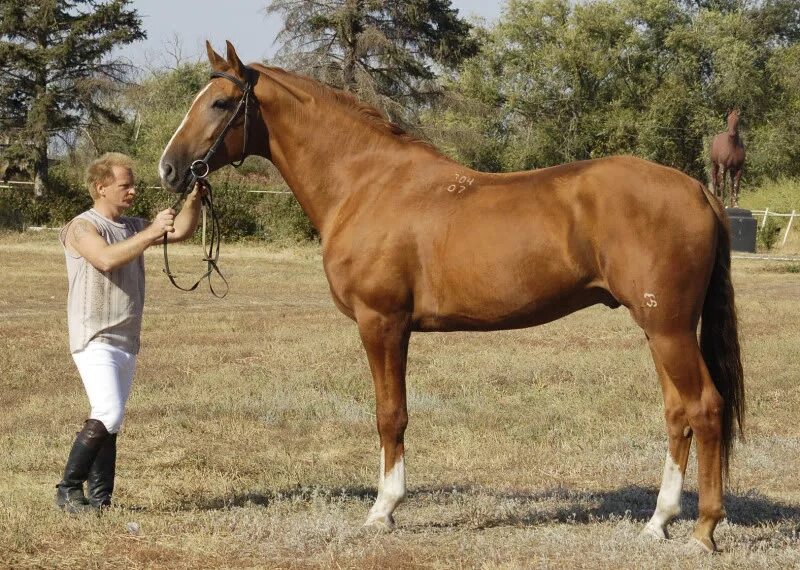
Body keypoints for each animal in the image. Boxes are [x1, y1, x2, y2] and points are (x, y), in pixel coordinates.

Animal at [159, 41, 748, 552]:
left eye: (219, 103)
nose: (169, 169)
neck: (365, 184)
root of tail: (698, 190)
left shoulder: (382, 322)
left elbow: (390, 414)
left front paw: (383, 510)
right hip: (659, 330)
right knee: (677, 413)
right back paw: (658, 522)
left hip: (669, 329)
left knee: (705, 407)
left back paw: (703, 530)